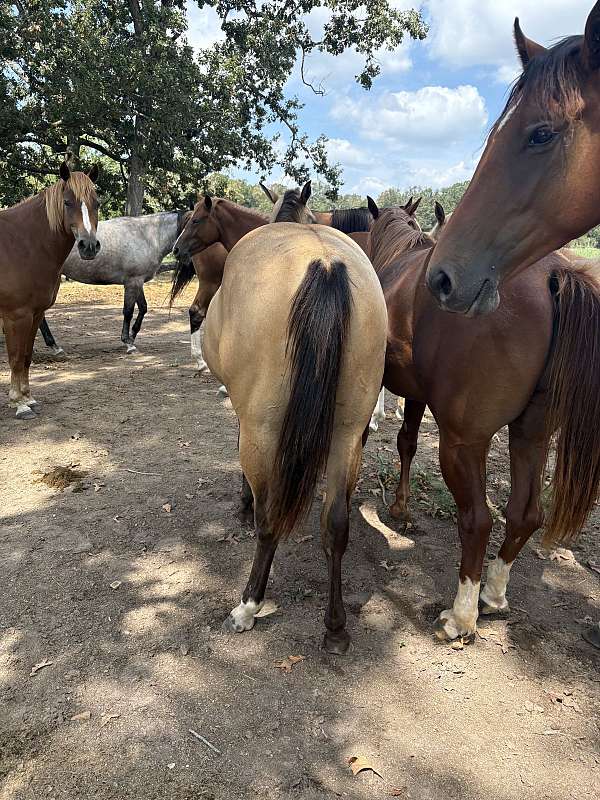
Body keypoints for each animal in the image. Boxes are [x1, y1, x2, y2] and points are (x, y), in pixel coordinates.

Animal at [0, 163, 100, 419]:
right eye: (67, 202)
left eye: (96, 203)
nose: (89, 246)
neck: (23, 244)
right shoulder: (16, 316)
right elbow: (16, 358)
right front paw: (19, 404)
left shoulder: (36, 314)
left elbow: (26, 357)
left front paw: (28, 397)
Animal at [40, 210, 189, 354]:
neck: (147, 236)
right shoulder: (132, 282)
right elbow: (128, 311)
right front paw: (128, 343)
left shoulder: (138, 281)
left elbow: (143, 308)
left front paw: (132, 336)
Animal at [201, 184, 387, 652]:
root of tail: (324, 263)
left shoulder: (249, 420)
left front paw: (243, 504)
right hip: (346, 435)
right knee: (335, 524)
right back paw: (335, 627)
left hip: (264, 432)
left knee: (269, 522)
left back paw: (248, 605)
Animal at [367, 197, 600, 641]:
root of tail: (553, 274)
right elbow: (407, 442)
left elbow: (404, 441)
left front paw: (400, 508)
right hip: (531, 437)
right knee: (525, 515)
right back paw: (492, 595)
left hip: (462, 444)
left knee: (477, 520)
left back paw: (461, 616)